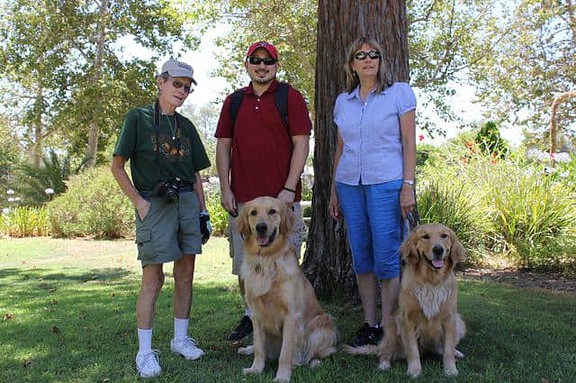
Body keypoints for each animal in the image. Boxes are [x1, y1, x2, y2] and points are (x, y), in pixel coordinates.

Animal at [236, 196, 340, 382]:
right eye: (253, 213)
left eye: (272, 211)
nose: (261, 227)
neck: (266, 259)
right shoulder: (256, 314)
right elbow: (259, 348)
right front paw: (255, 369)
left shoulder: (291, 315)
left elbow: (285, 353)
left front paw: (282, 376)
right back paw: (247, 349)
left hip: (321, 326)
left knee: (319, 352)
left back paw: (312, 362)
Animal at [344, 224, 466, 380]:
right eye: (425, 236)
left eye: (444, 236)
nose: (438, 250)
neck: (430, 281)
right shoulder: (407, 320)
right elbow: (413, 351)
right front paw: (414, 371)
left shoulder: (449, 318)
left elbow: (448, 350)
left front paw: (450, 370)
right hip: (392, 329)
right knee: (384, 352)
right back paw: (384, 365)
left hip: (459, 323)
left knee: (442, 348)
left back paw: (456, 352)